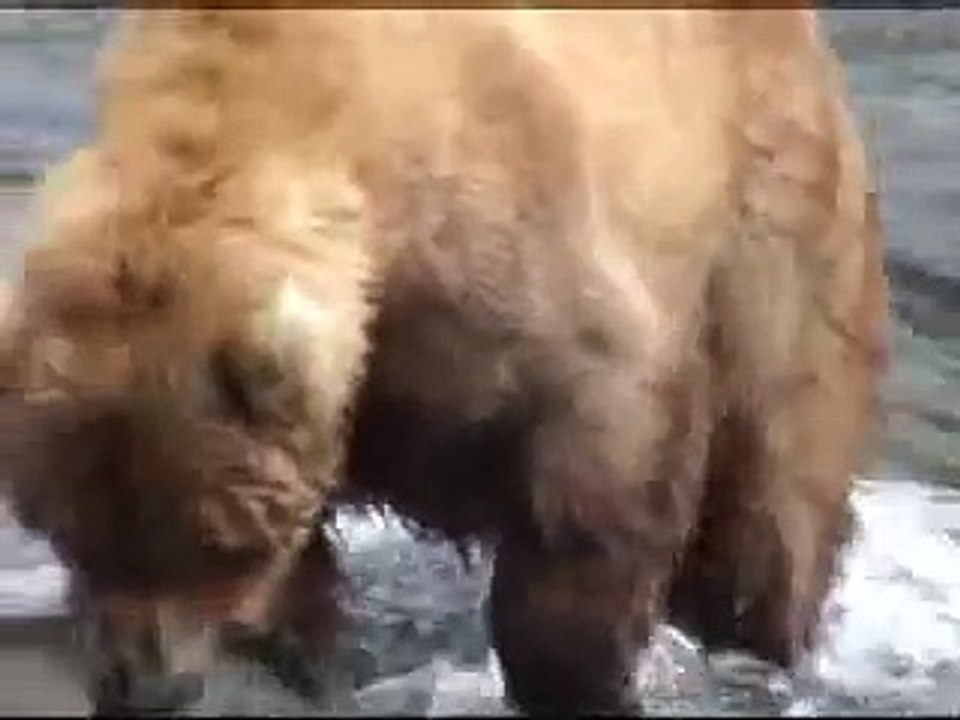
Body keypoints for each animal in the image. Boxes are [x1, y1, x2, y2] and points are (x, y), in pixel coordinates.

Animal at [0, 7, 889, 715]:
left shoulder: (511, 249)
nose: (140, 688)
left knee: (777, 489)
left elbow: (598, 470)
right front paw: (304, 638)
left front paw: (573, 673)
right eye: (68, 531)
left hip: (772, 216)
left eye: (211, 541)